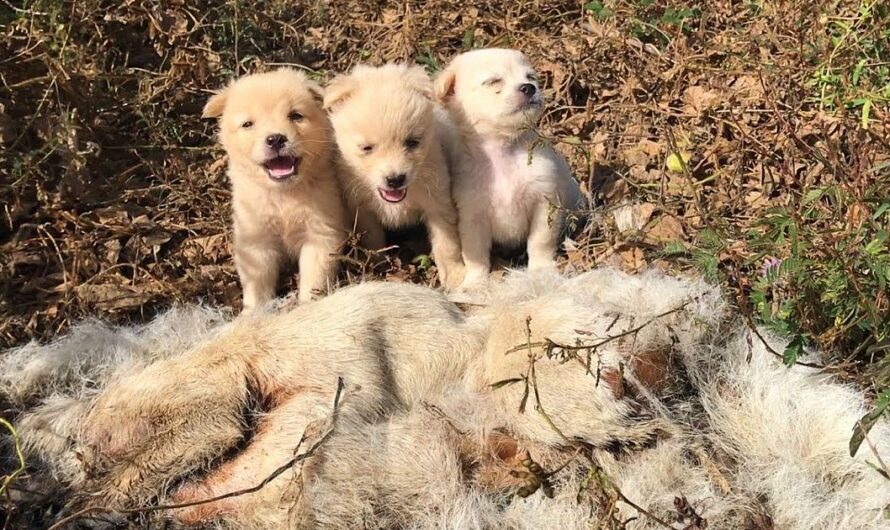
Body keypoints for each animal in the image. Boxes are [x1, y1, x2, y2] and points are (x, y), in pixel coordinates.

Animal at [203, 68, 348, 308]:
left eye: (296, 116)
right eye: (248, 124)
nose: (276, 139)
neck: (283, 194)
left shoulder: (320, 235)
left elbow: (314, 279)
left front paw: (308, 306)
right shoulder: (256, 240)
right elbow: (258, 283)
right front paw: (254, 312)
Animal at [324, 64, 464, 290]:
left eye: (412, 142)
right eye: (367, 148)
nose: (396, 179)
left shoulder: (438, 204)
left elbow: (447, 243)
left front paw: (455, 274)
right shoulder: (363, 210)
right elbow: (373, 239)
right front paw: (378, 264)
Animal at [432, 47, 584, 288]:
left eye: (531, 77)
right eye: (494, 81)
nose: (529, 88)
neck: (502, 152)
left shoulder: (544, 204)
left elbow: (540, 242)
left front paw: (541, 270)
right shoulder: (472, 218)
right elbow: (475, 256)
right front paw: (475, 283)